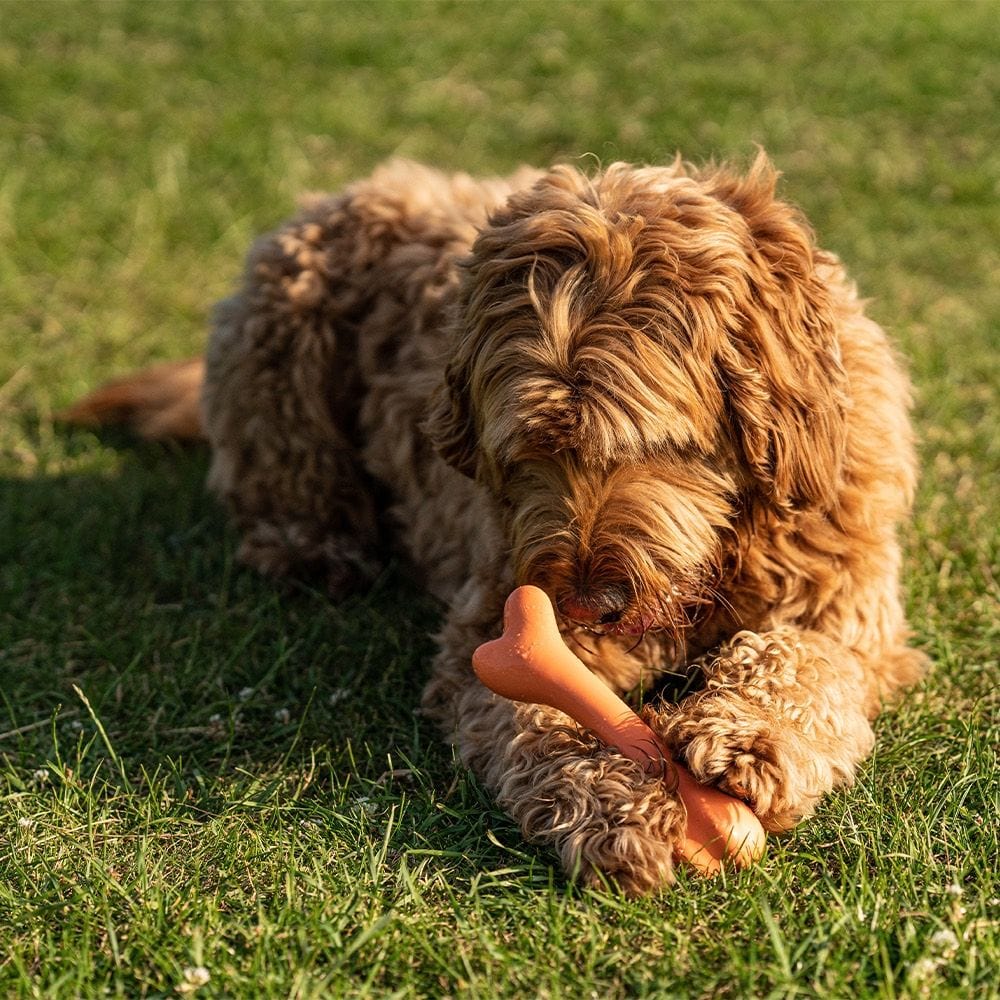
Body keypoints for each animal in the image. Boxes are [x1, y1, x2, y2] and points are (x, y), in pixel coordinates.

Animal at [66, 154, 928, 892]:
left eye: (651, 444)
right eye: (531, 451)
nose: (586, 603)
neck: (724, 556)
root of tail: (356, 189)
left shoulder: (848, 604)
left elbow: (808, 660)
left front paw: (749, 737)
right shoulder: (496, 627)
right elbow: (541, 714)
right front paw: (615, 807)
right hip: (276, 343)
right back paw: (317, 550)